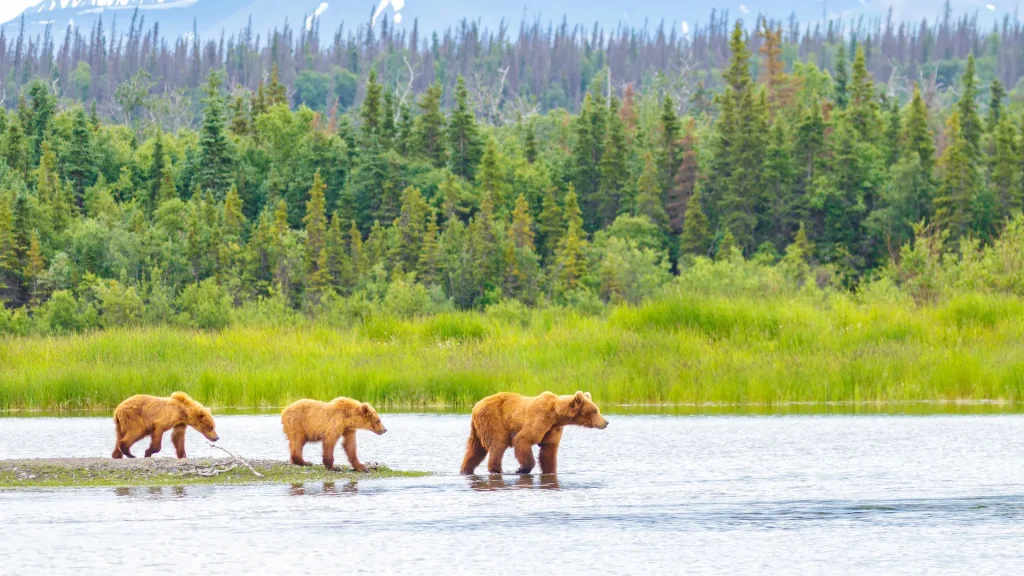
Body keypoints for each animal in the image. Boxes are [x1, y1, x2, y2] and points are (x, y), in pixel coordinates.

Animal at [460, 391, 608, 475]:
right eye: (595, 410)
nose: (606, 422)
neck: (556, 416)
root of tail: (475, 406)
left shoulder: (552, 429)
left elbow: (548, 452)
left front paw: (550, 471)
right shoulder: (539, 419)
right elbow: (523, 439)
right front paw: (521, 469)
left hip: (478, 428)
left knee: (475, 450)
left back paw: (465, 470)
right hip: (493, 420)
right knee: (498, 444)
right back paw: (496, 470)